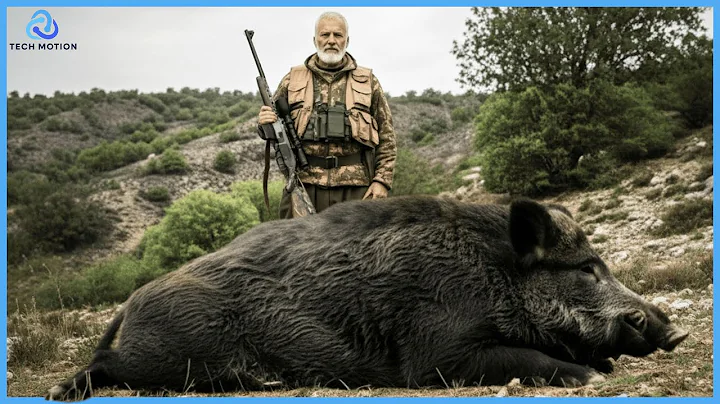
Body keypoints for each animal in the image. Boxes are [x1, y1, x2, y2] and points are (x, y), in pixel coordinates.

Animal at [47, 196, 688, 400]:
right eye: (586, 268)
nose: (675, 329)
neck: (493, 276)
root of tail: (127, 306)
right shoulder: (436, 354)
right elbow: (530, 358)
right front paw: (591, 376)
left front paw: (601, 366)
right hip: (166, 357)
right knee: (104, 369)